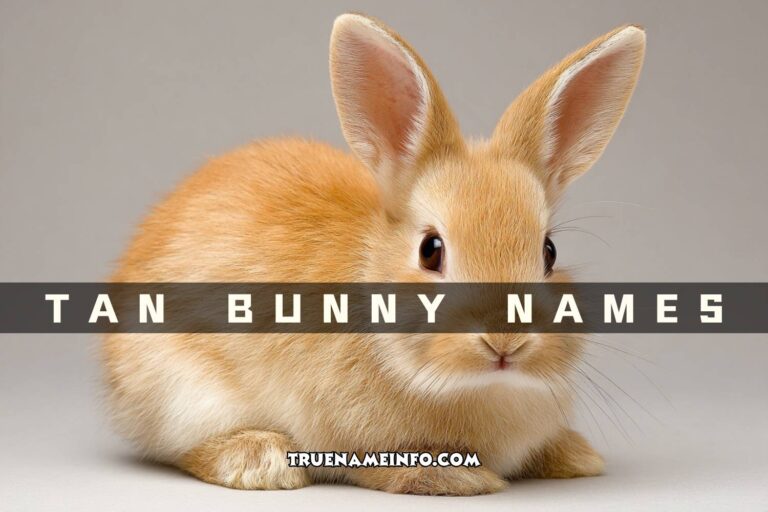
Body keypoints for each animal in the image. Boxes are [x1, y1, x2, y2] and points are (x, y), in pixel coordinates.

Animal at [102, 13, 645, 495]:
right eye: (430, 251)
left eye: (549, 252)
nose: (505, 342)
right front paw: (456, 479)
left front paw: (576, 456)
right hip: (181, 392)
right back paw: (262, 462)